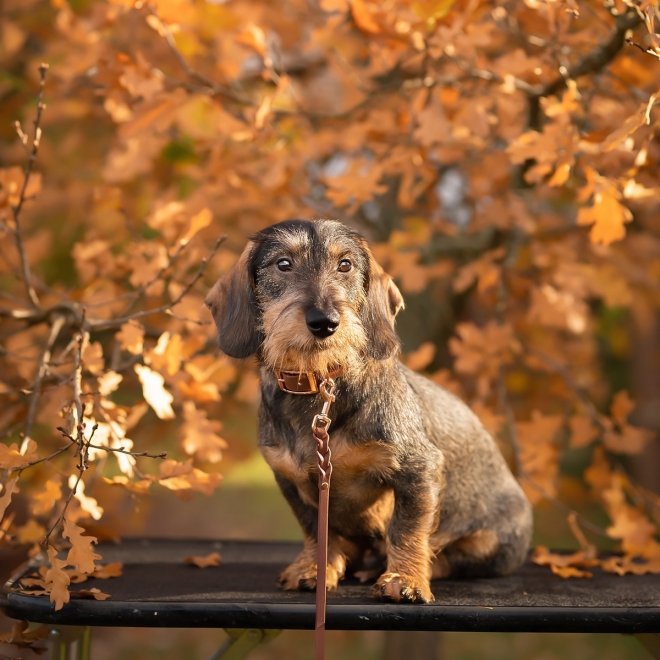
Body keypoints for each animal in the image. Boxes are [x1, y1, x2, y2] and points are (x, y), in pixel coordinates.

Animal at [205, 220, 532, 604]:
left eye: (345, 265)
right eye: (283, 264)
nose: (325, 322)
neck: (318, 386)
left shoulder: (419, 469)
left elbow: (406, 529)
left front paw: (405, 579)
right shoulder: (289, 478)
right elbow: (315, 528)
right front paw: (314, 568)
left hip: (490, 541)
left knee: (451, 556)